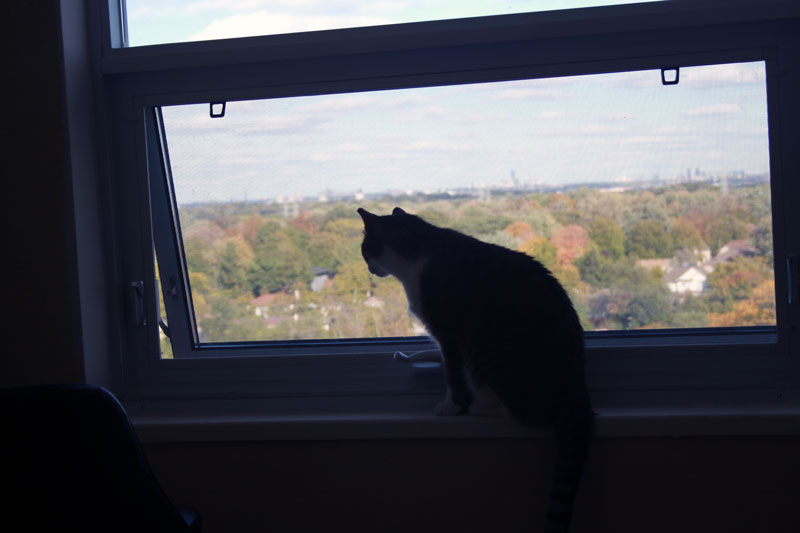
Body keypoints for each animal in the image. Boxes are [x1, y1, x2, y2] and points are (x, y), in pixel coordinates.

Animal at [360, 206, 592, 528]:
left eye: (365, 249)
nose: (368, 268)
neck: (420, 249)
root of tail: (575, 386)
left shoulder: (448, 334)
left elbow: (453, 377)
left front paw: (450, 407)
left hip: (488, 356)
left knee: (524, 413)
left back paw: (481, 406)